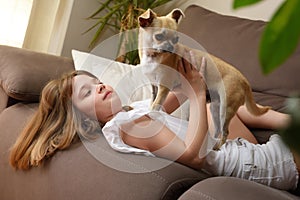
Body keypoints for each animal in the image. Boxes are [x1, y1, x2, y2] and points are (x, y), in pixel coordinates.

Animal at [138, 8, 272, 148]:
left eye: (176, 39)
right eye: (158, 36)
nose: (171, 47)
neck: (153, 57)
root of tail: (244, 80)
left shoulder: (164, 87)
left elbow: (155, 106)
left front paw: (151, 115)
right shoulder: (154, 87)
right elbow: (152, 101)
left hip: (225, 109)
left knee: (225, 132)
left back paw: (217, 147)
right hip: (215, 108)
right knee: (218, 129)